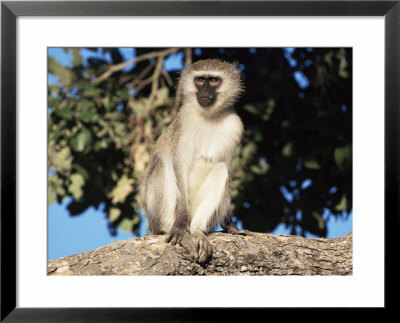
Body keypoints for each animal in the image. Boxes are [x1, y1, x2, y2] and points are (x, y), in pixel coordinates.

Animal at [139, 59, 245, 264]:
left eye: (213, 80)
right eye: (200, 80)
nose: (205, 91)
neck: (209, 117)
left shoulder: (235, 126)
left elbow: (226, 167)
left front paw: (229, 223)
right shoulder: (184, 122)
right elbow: (178, 165)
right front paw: (180, 225)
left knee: (221, 169)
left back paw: (197, 232)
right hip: (159, 216)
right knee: (162, 159)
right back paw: (178, 232)